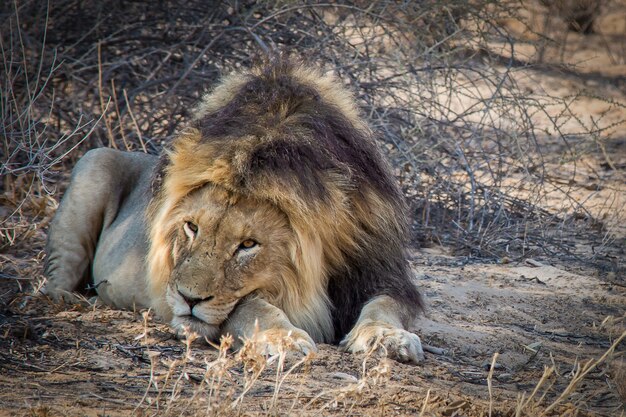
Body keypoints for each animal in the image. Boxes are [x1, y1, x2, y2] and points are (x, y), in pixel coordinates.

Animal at [42, 57, 424, 362]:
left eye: (248, 245)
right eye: (191, 227)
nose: (187, 298)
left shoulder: (379, 272)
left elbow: (385, 305)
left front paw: (387, 338)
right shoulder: (238, 303)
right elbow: (254, 306)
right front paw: (284, 340)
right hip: (95, 162)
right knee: (56, 270)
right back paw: (68, 300)